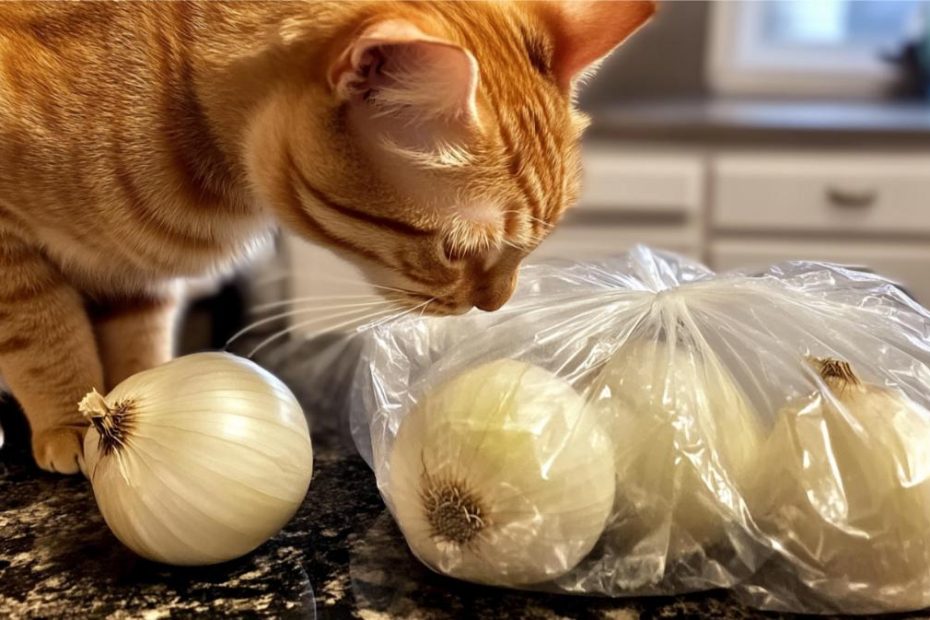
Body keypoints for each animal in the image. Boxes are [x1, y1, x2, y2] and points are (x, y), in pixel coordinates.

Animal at [0, 1, 652, 474]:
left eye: (537, 243)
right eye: (455, 251)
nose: (498, 305)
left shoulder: (136, 278)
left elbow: (136, 342)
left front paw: (135, 398)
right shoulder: (15, 248)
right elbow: (46, 336)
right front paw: (74, 422)